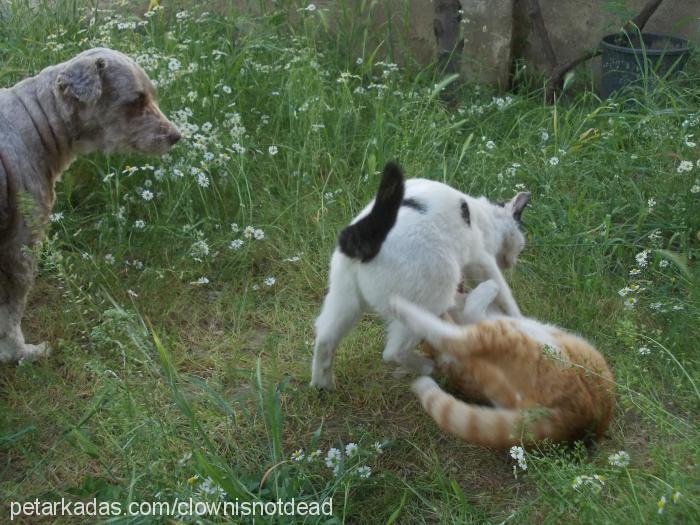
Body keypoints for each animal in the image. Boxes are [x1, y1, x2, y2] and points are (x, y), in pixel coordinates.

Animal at [0, 47, 180, 362]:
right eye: (137, 101)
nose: (176, 136)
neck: (37, 120)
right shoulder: (19, 246)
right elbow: (10, 313)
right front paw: (21, 353)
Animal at [312, 162, 532, 386]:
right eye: (522, 243)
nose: (513, 262)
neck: (483, 215)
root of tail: (367, 234)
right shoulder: (482, 259)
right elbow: (504, 294)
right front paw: (521, 322)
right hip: (425, 303)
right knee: (393, 352)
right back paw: (427, 366)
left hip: (344, 299)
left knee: (325, 338)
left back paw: (322, 385)